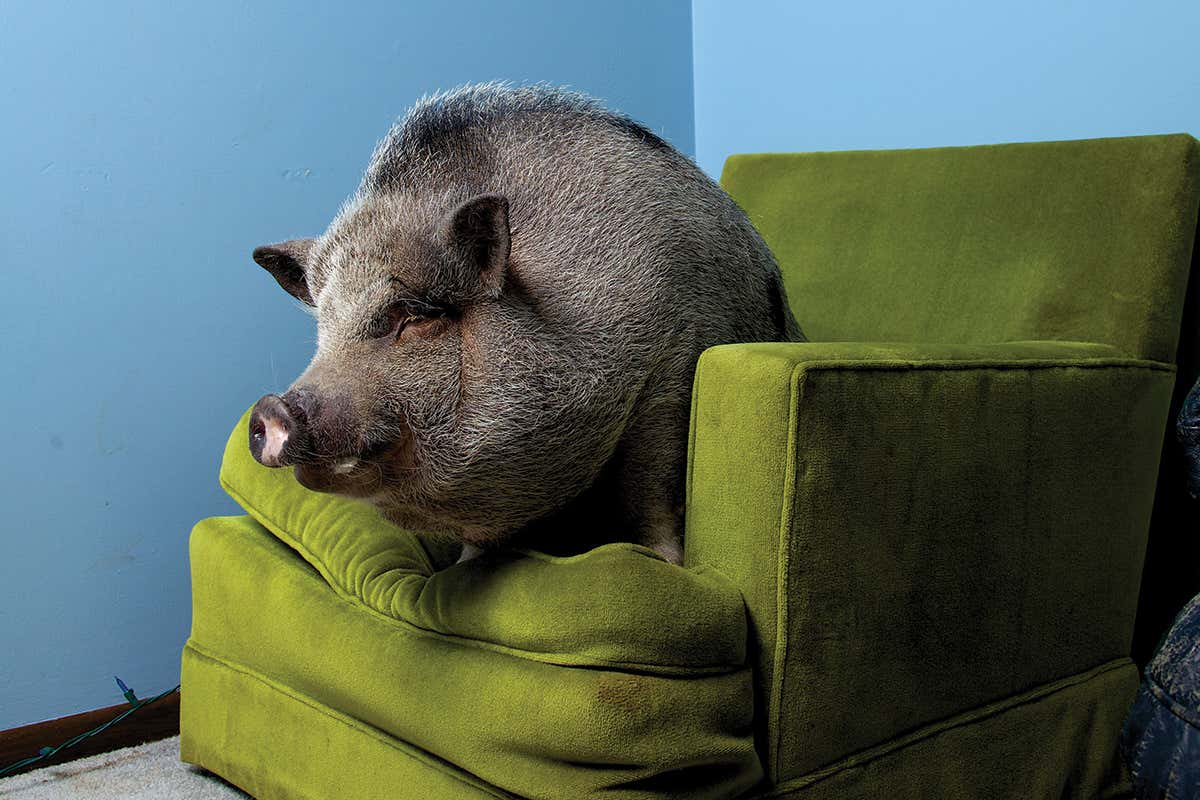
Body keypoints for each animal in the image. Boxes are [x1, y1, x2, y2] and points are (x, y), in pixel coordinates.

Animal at [248, 83, 804, 565]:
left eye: (414, 315)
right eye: (324, 328)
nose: (271, 410)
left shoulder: (670, 373)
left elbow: (653, 496)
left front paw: (672, 566)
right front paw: (460, 570)